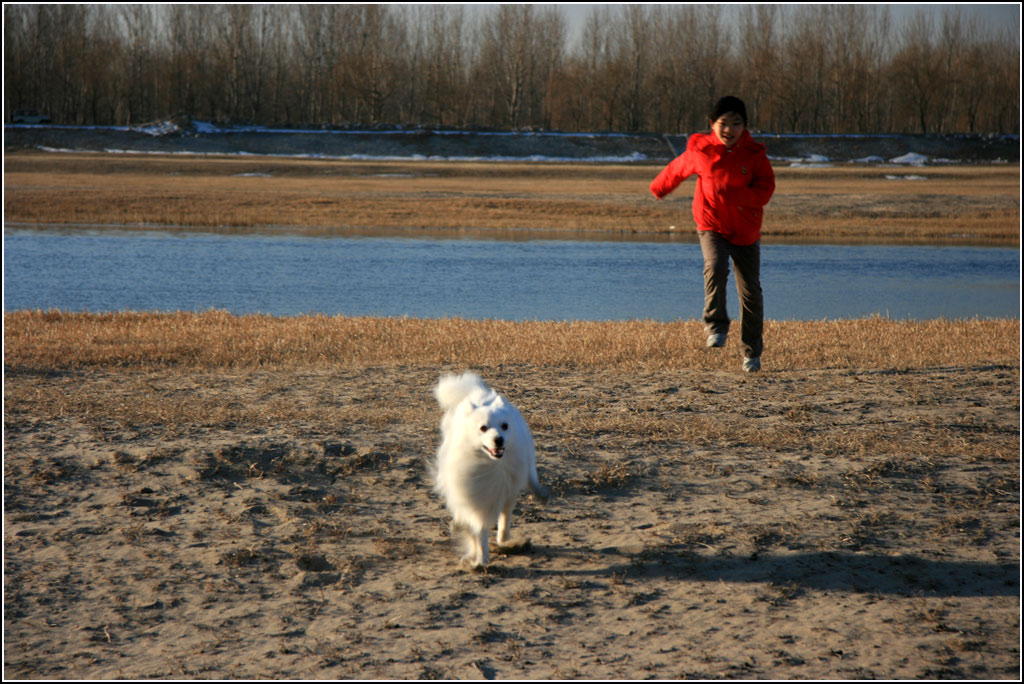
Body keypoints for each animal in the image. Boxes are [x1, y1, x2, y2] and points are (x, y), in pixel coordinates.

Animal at [430, 370, 548, 569]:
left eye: (505, 426)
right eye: (483, 428)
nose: (499, 439)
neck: (491, 465)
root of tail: (476, 392)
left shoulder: (508, 492)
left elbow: (505, 521)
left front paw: (504, 540)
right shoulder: (476, 499)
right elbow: (479, 533)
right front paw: (480, 559)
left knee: (531, 476)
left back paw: (540, 493)